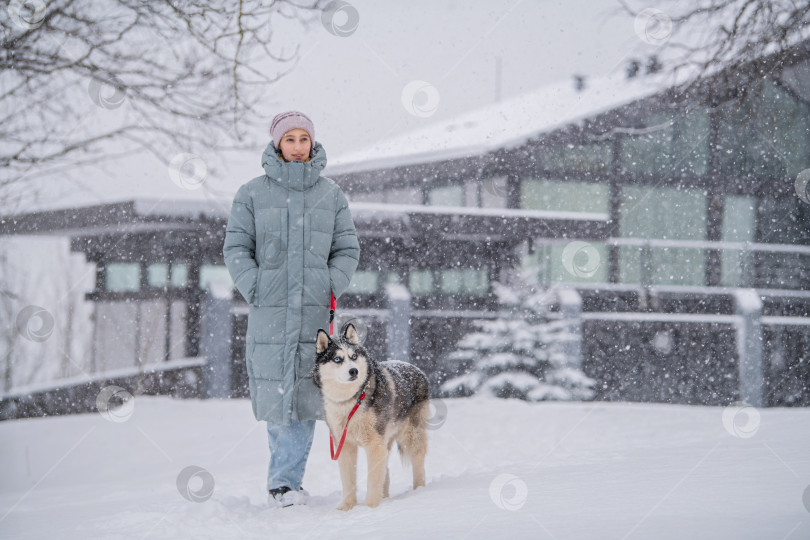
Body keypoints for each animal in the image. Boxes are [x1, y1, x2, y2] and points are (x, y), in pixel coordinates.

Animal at [312, 322, 430, 512]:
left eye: (353, 356)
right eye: (337, 359)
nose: (354, 371)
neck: (351, 401)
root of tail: (415, 368)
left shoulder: (374, 444)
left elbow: (373, 480)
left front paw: (370, 508)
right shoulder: (345, 446)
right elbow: (348, 480)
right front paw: (347, 507)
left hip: (411, 436)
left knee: (418, 464)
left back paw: (418, 491)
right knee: (386, 472)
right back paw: (385, 496)